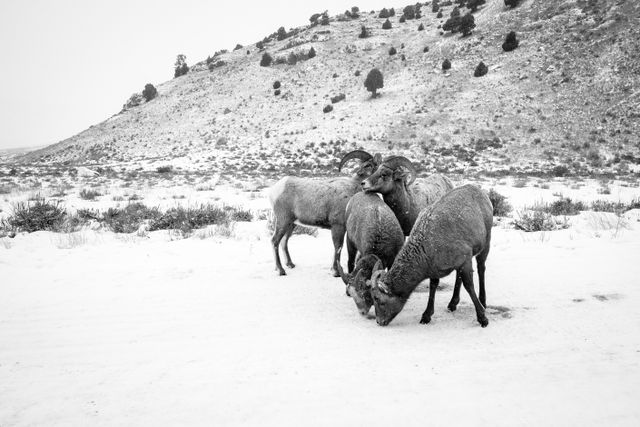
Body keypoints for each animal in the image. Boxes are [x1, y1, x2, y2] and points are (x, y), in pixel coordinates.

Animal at [368, 186, 492, 330]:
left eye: (378, 299)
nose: (379, 321)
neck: (426, 246)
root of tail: (480, 191)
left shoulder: (465, 257)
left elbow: (469, 286)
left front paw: (482, 318)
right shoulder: (437, 266)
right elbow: (433, 286)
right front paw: (426, 316)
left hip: (487, 239)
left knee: (481, 267)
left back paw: (483, 301)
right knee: (459, 275)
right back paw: (452, 303)